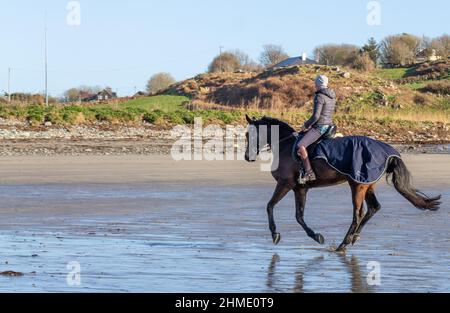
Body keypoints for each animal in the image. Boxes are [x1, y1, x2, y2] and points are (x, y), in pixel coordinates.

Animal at [244, 116, 442, 252]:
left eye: (249, 134)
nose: (247, 157)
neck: (284, 146)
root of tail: (388, 151)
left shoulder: (285, 184)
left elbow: (270, 206)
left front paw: (275, 235)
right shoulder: (300, 189)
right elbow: (299, 216)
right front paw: (316, 236)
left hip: (357, 185)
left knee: (358, 213)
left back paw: (343, 243)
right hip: (367, 184)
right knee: (374, 208)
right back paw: (353, 238)